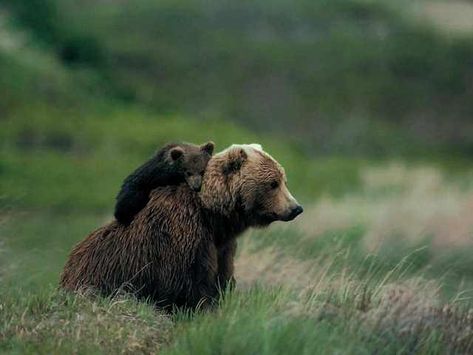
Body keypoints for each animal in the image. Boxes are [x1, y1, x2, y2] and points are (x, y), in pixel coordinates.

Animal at [60, 143, 302, 310]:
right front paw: (199, 309)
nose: (296, 208)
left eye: (284, 180)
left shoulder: (222, 246)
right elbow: (187, 285)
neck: (214, 216)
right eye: (273, 183)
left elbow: (222, 278)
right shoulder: (183, 237)